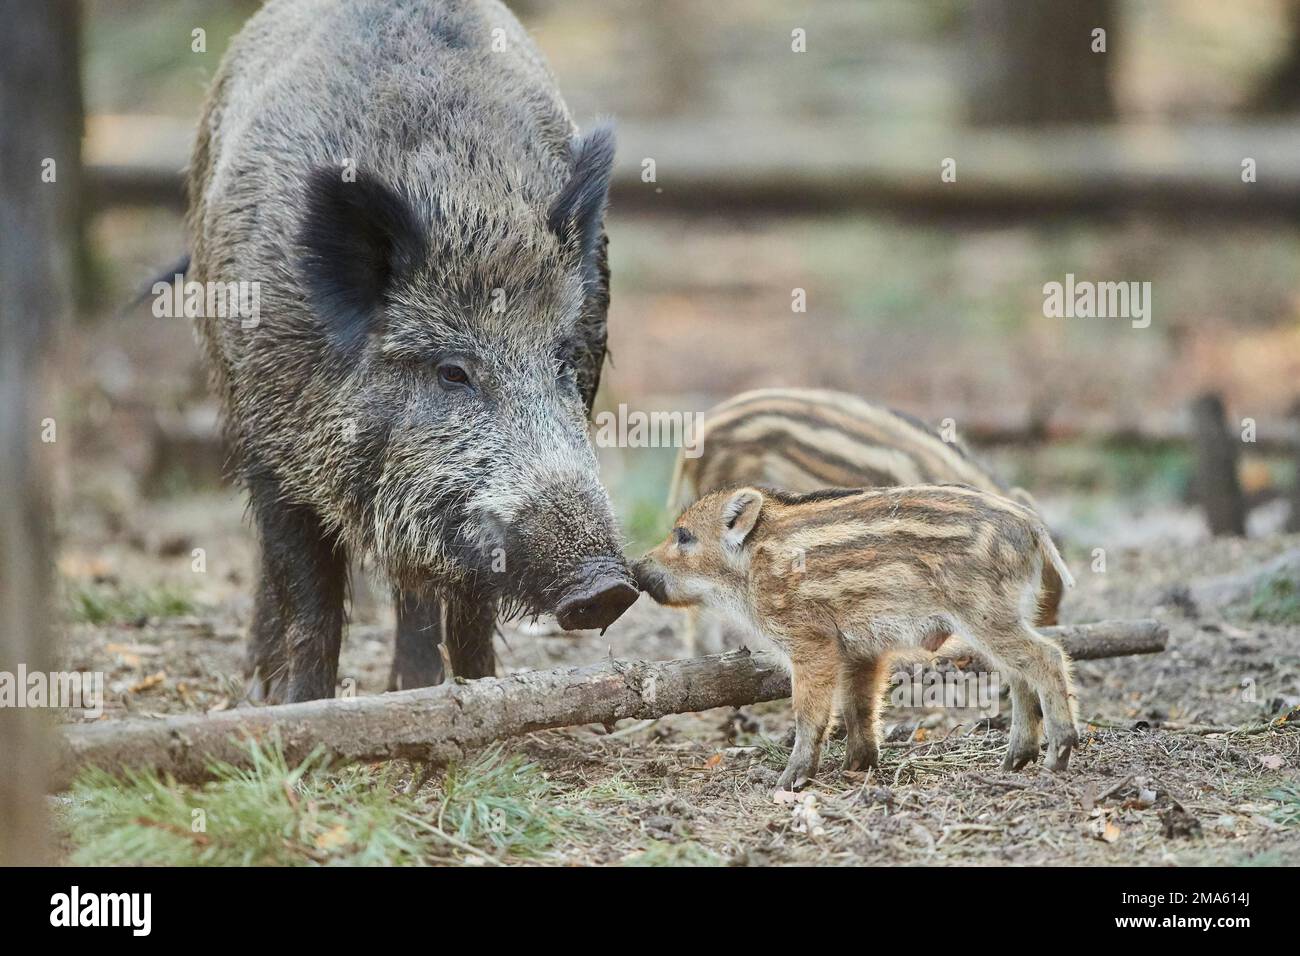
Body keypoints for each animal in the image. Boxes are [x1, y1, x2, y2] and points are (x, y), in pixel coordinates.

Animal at [184, 0, 637, 703]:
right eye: (452, 372)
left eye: (562, 359)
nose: (607, 586)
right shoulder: (270, 441)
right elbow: (310, 600)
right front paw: (301, 710)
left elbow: (470, 615)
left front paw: (481, 698)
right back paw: (260, 689)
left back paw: (410, 688)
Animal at [635, 484, 1079, 789]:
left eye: (684, 536)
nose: (637, 569)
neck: (752, 567)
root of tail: (1033, 527)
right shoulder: (861, 650)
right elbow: (858, 705)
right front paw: (857, 767)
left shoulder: (811, 642)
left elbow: (809, 713)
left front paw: (789, 782)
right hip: (1004, 616)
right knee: (1019, 674)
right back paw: (1013, 762)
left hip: (985, 615)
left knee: (1046, 658)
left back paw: (1057, 756)